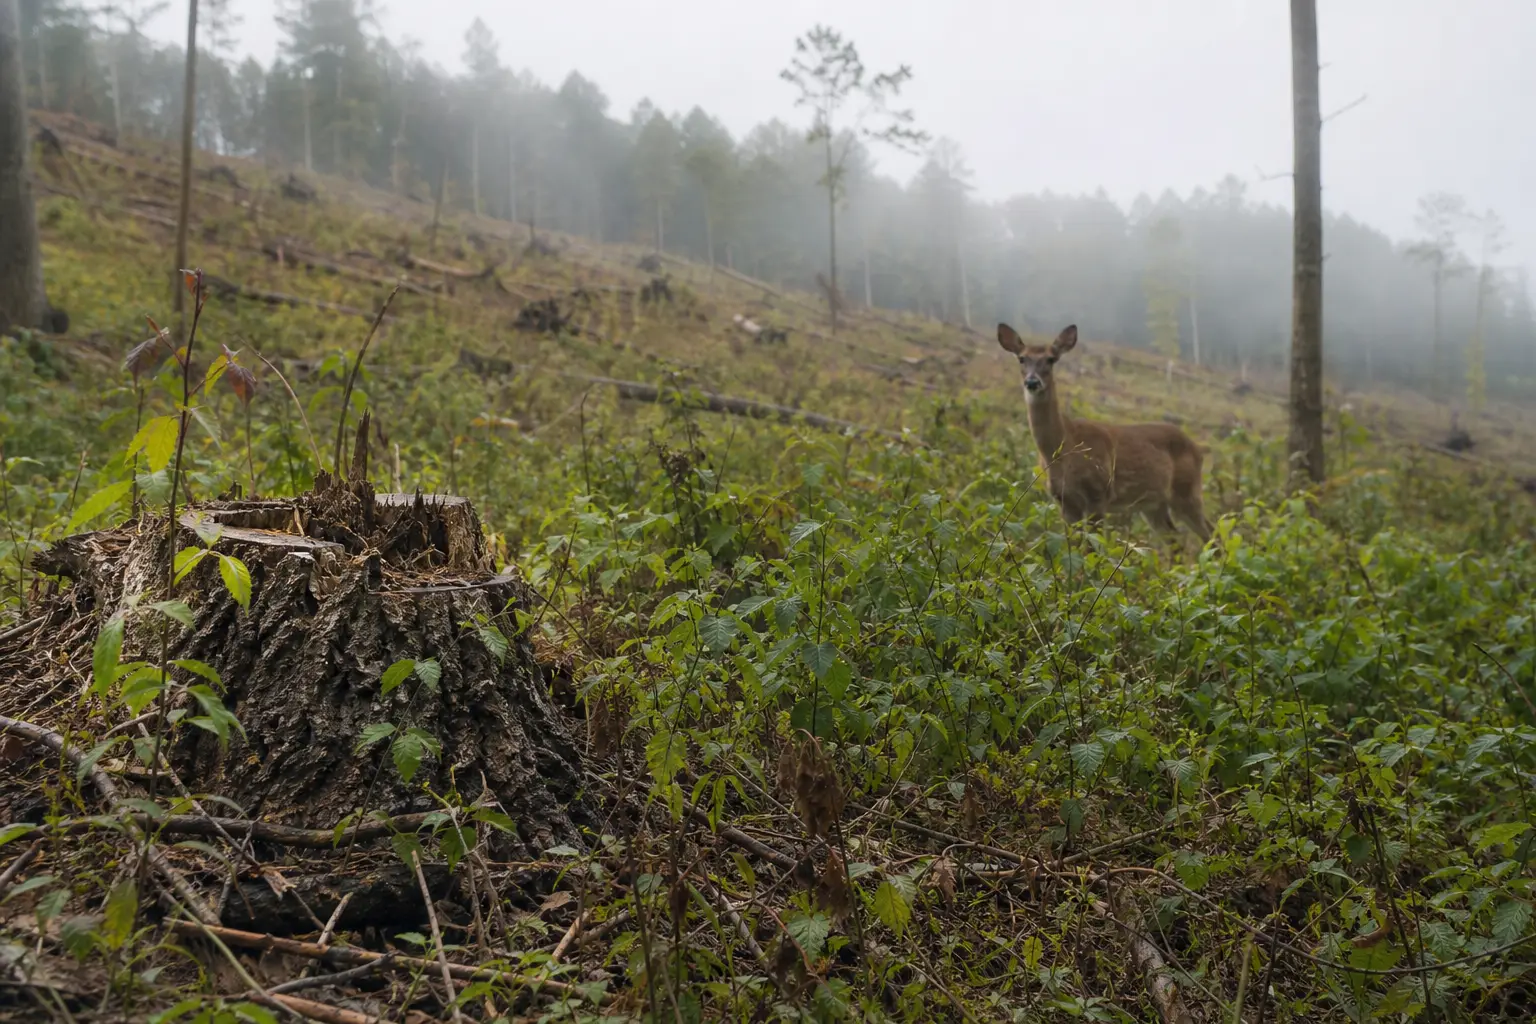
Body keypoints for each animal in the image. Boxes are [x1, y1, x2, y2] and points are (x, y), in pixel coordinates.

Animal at [997, 322, 1212, 541]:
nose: (1032, 382)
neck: (1064, 447)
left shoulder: (1099, 492)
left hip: (1187, 491)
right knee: (1175, 538)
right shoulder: (1064, 500)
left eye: (1050, 359)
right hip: (1153, 504)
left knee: (1210, 533)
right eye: (1022, 358)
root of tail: (1198, 450)